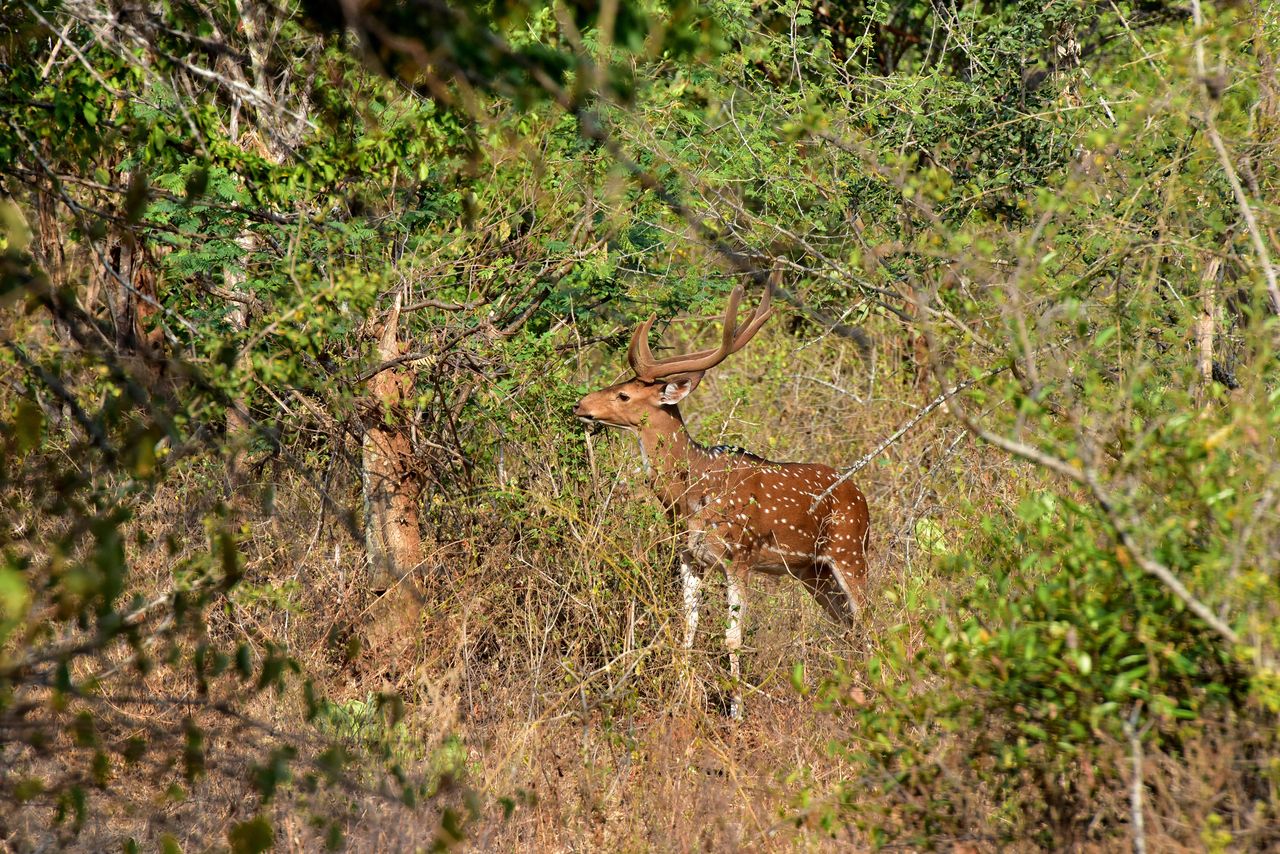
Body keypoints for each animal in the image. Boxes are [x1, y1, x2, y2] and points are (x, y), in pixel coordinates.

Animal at [578, 279, 870, 717]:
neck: (690, 496)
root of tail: (861, 496)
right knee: (846, 627)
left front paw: (736, 711)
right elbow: (688, 630)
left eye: (625, 395)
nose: (580, 404)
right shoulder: (688, 557)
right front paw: (682, 700)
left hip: (850, 552)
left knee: (868, 620)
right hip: (812, 572)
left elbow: (733, 639)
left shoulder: (740, 556)